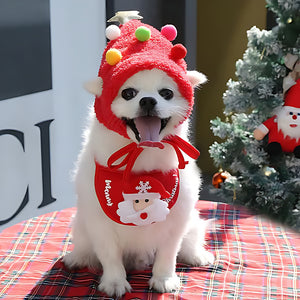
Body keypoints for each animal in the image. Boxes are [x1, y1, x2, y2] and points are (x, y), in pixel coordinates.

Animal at [63, 14, 214, 298]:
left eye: (166, 93)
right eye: (128, 93)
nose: (147, 101)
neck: (142, 157)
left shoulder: (175, 219)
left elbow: (168, 254)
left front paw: (164, 279)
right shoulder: (99, 222)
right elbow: (110, 256)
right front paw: (114, 282)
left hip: (192, 222)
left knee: (190, 240)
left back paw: (197, 255)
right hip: (82, 228)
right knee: (86, 248)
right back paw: (77, 257)